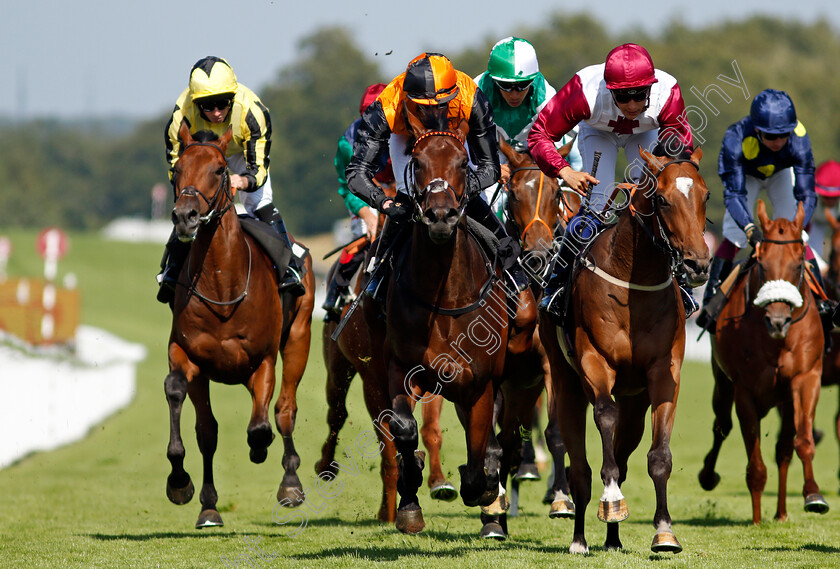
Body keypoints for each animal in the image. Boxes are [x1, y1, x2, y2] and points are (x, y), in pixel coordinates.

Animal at [162, 123, 314, 528]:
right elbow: (178, 395)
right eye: (177, 169)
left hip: (299, 338)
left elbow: (261, 426)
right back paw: (209, 506)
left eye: (218, 170)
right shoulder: (186, 354)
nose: (185, 216)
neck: (223, 284)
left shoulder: (262, 359)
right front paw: (180, 481)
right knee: (208, 430)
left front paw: (261, 451)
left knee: (284, 409)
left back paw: (290, 482)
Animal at [540, 148, 708, 556]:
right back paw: (580, 538)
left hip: (635, 402)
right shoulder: (594, 361)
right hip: (565, 384)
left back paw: (613, 539)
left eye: (706, 195)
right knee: (579, 467)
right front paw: (612, 498)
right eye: (663, 199)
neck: (635, 282)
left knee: (623, 446)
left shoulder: (664, 372)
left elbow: (658, 456)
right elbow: (604, 415)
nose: (697, 264)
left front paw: (664, 532)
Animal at [696, 200, 828, 524]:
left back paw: (781, 513)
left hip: (785, 399)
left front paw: (813, 495)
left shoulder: (806, 377)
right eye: (762, 265)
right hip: (722, 383)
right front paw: (756, 520)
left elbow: (802, 442)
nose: (778, 321)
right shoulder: (745, 390)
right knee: (722, 426)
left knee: (783, 449)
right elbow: (754, 461)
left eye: (798, 264)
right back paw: (708, 475)